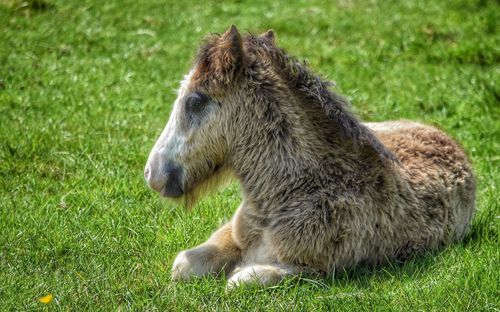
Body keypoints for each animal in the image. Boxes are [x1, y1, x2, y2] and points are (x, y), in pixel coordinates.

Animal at [144, 25, 476, 288]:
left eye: (194, 101)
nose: (151, 173)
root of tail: (447, 138)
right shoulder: (231, 235)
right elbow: (184, 265)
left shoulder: (316, 269)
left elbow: (241, 280)